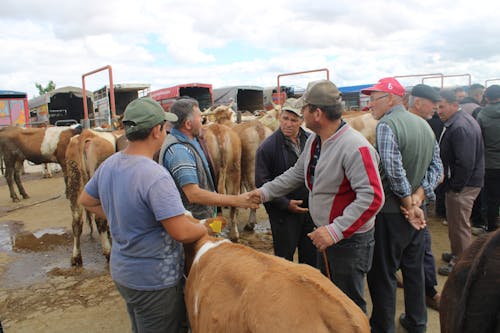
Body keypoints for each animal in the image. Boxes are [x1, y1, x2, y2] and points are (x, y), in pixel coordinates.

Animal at [65, 128, 119, 266]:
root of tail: (87, 134)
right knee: (99, 220)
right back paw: (108, 252)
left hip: (75, 182)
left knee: (76, 222)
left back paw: (76, 257)